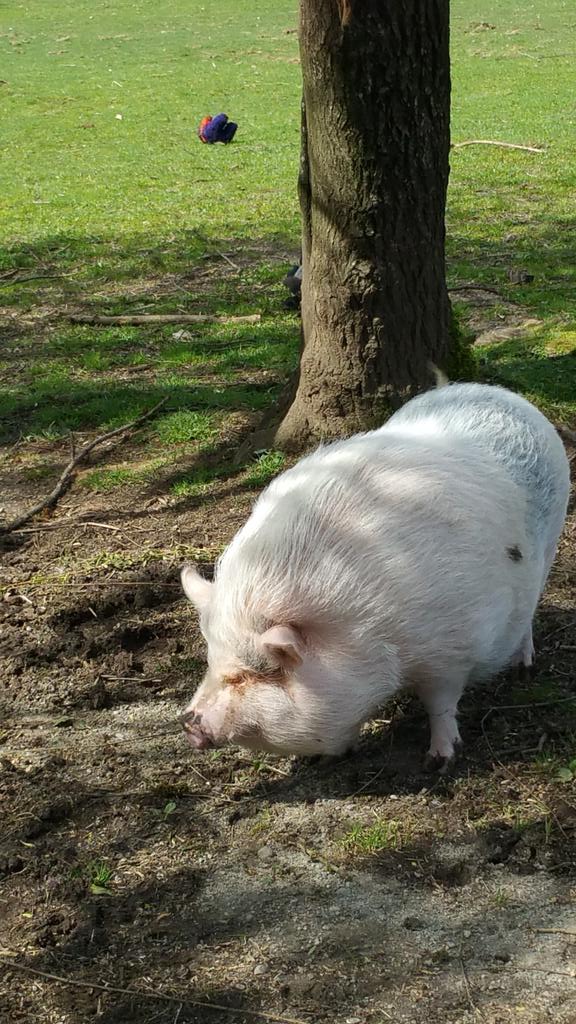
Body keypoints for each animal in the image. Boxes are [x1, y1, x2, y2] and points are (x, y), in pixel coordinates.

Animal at [180, 381, 570, 768]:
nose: (187, 722)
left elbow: (441, 705)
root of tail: (502, 393)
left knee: (529, 612)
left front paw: (439, 760)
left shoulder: (452, 651)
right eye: (211, 661)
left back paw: (524, 666)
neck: (364, 630)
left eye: (245, 676)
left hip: (551, 542)